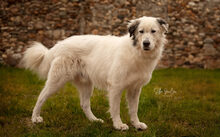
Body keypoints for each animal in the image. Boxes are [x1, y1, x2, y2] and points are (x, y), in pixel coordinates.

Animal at [20, 16, 168, 131]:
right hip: (57, 81)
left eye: (153, 31)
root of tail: (61, 43)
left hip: (86, 85)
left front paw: (136, 124)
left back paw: (94, 121)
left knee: (84, 104)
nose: (146, 43)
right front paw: (118, 125)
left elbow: (133, 109)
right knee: (41, 97)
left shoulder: (135, 89)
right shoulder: (116, 87)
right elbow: (115, 109)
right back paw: (35, 118)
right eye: (141, 31)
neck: (136, 52)